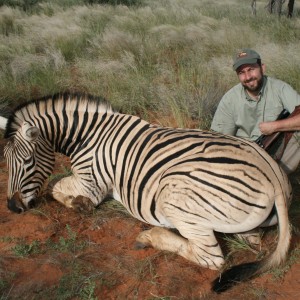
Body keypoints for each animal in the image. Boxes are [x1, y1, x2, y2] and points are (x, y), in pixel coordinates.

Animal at [0, 92, 290, 292]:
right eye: (5, 160)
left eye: (28, 161)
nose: (13, 208)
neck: (88, 136)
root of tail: (273, 175)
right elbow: (55, 185)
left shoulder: (91, 184)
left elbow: (55, 186)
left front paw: (79, 204)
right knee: (250, 239)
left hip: (173, 193)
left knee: (211, 258)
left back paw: (150, 236)